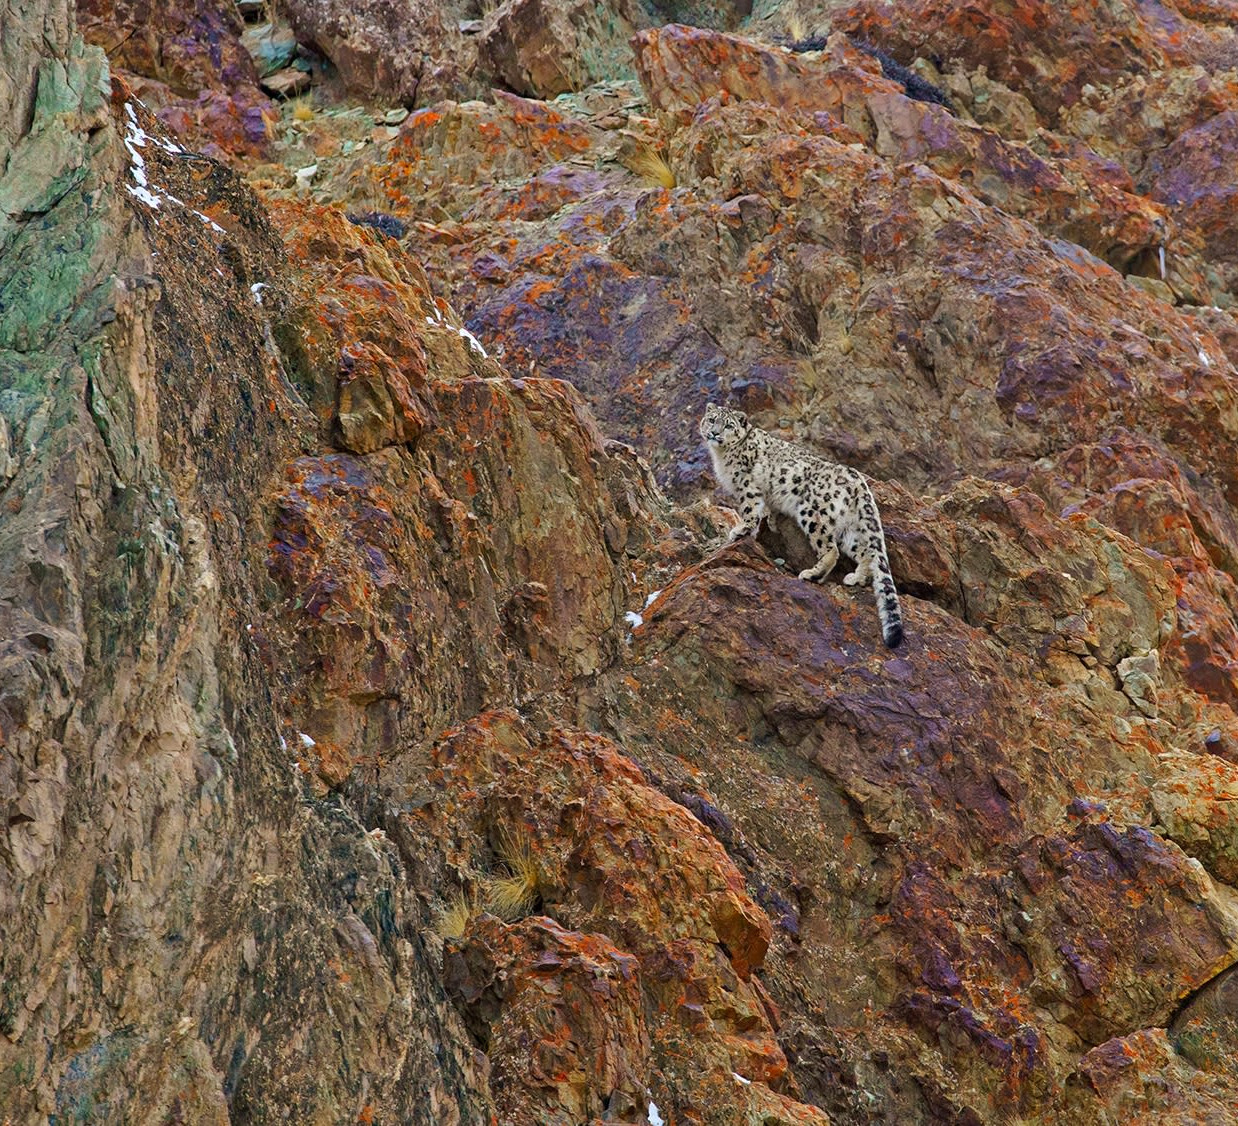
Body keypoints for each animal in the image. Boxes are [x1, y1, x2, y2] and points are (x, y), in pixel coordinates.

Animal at [700, 403, 904, 648]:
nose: (714, 433)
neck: (721, 456)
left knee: (831, 550)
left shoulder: (747, 486)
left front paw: (742, 529)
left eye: (729, 425)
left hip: (812, 513)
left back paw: (812, 574)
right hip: (849, 528)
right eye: (712, 420)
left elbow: (750, 509)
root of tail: (858, 480)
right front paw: (771, 521)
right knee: (867, 553)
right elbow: (768, 509)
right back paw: (856, 578)